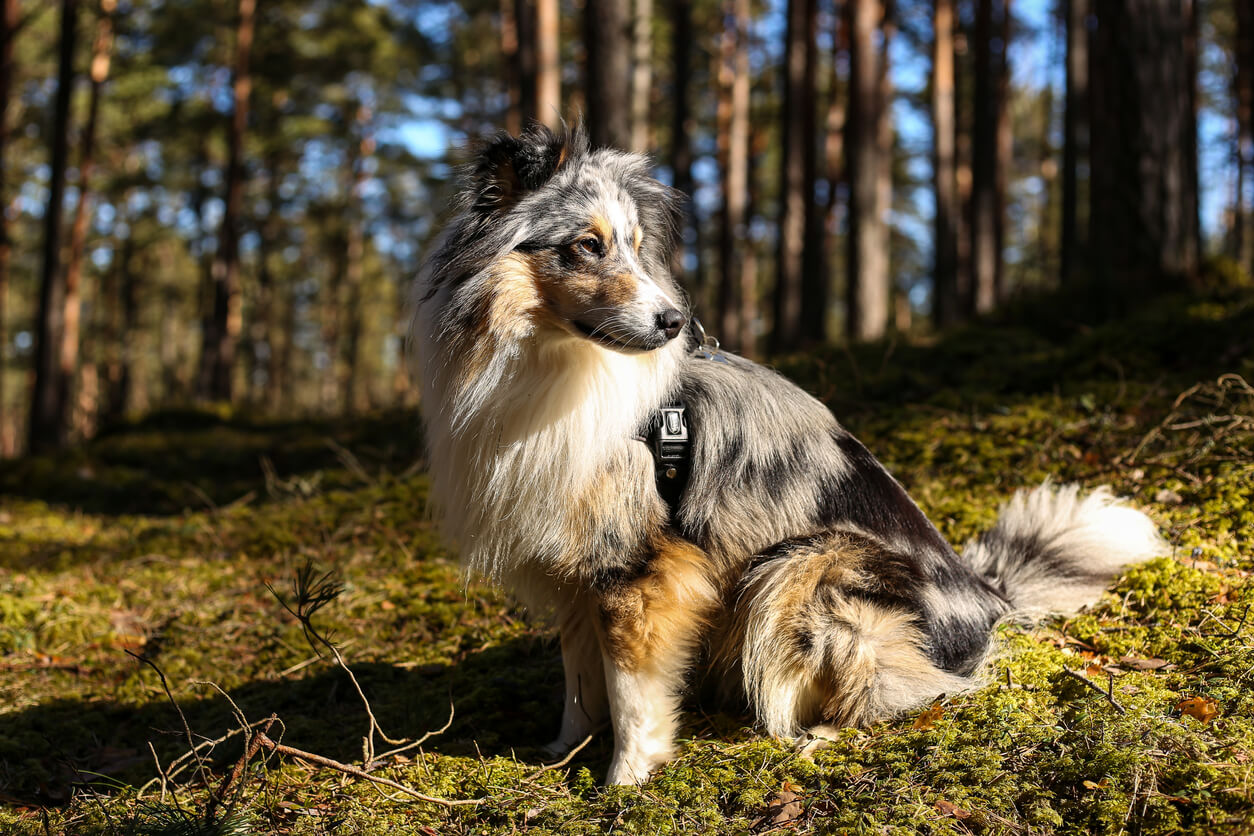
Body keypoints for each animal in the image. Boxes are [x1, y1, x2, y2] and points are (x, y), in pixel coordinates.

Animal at [411, 124, 1163, 787]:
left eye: (633, 245)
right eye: (587, 246)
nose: (673, 323)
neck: (557, 366)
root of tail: (988, 598)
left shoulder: (640, 565)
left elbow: (630, 689)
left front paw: (626, 778)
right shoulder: (577, 563)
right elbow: (578, 677)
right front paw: (561, 753)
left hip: (808, 568)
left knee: (920, 689)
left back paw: (819, 734)